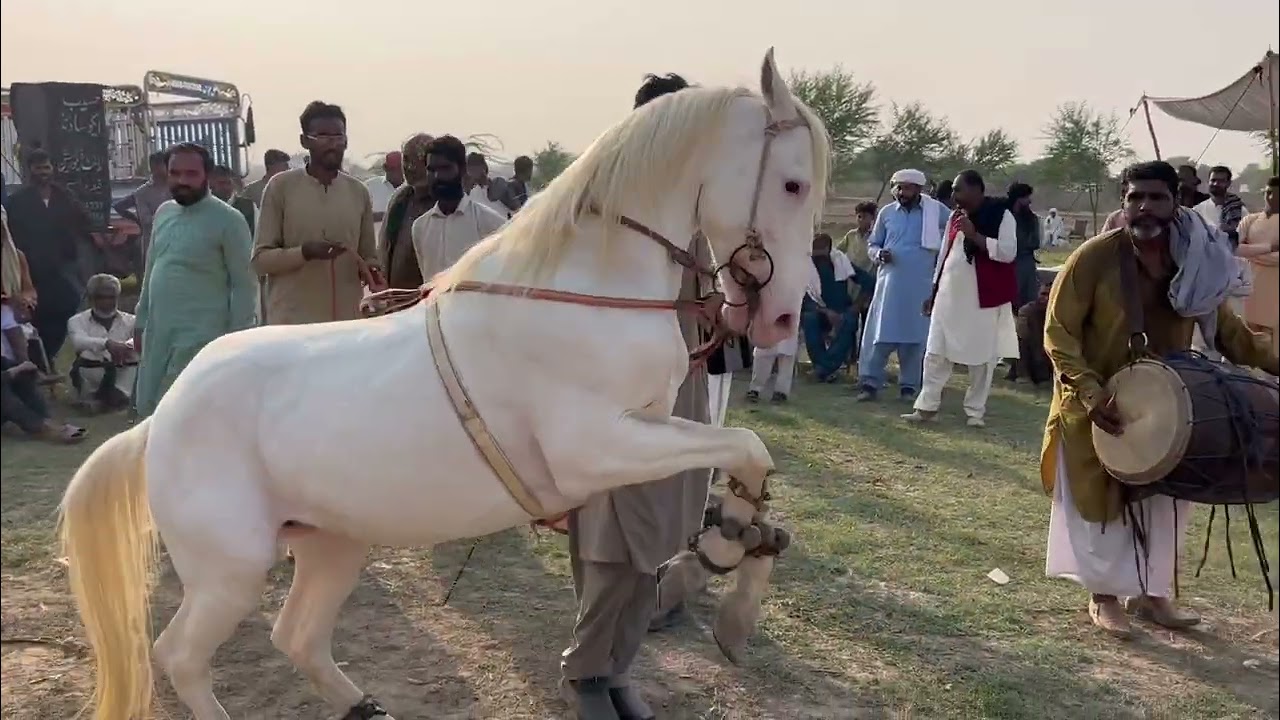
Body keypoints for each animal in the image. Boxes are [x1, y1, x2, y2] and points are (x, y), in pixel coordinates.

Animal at [58, 48, 830, 720]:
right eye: (793, 183)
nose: (780, 319)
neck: (587, 292)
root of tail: (159, 421)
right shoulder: (594, 450)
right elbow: (740, 444)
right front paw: (727, 560)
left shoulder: (646, 426)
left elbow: (743, 456)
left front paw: (733, 551)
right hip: (232, 570)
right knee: (182, 657)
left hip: (333, 544)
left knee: (295, 635)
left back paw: (364, 706)